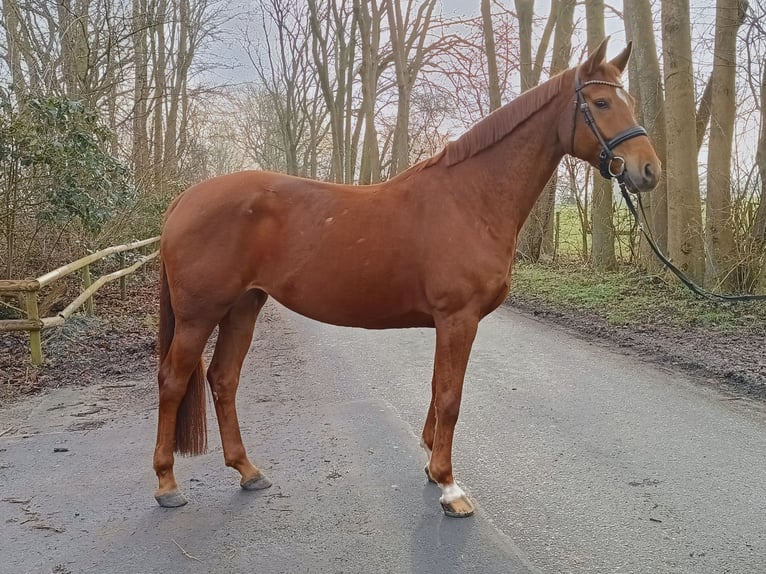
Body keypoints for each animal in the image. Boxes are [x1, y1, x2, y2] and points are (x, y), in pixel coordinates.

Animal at [154, 38, 660, 520]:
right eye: (600, 103)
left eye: (632, 101)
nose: (649, 170)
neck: (470, 199)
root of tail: (184, 199)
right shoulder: (458, 319)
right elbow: (451, 397)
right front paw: (451, 488)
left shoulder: (448, 322)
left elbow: (438, 390)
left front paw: (434, 471)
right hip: (200, 315)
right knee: (174, 380)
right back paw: (167, 485)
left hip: (244, 306)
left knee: (223, 379)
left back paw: (248, 471)